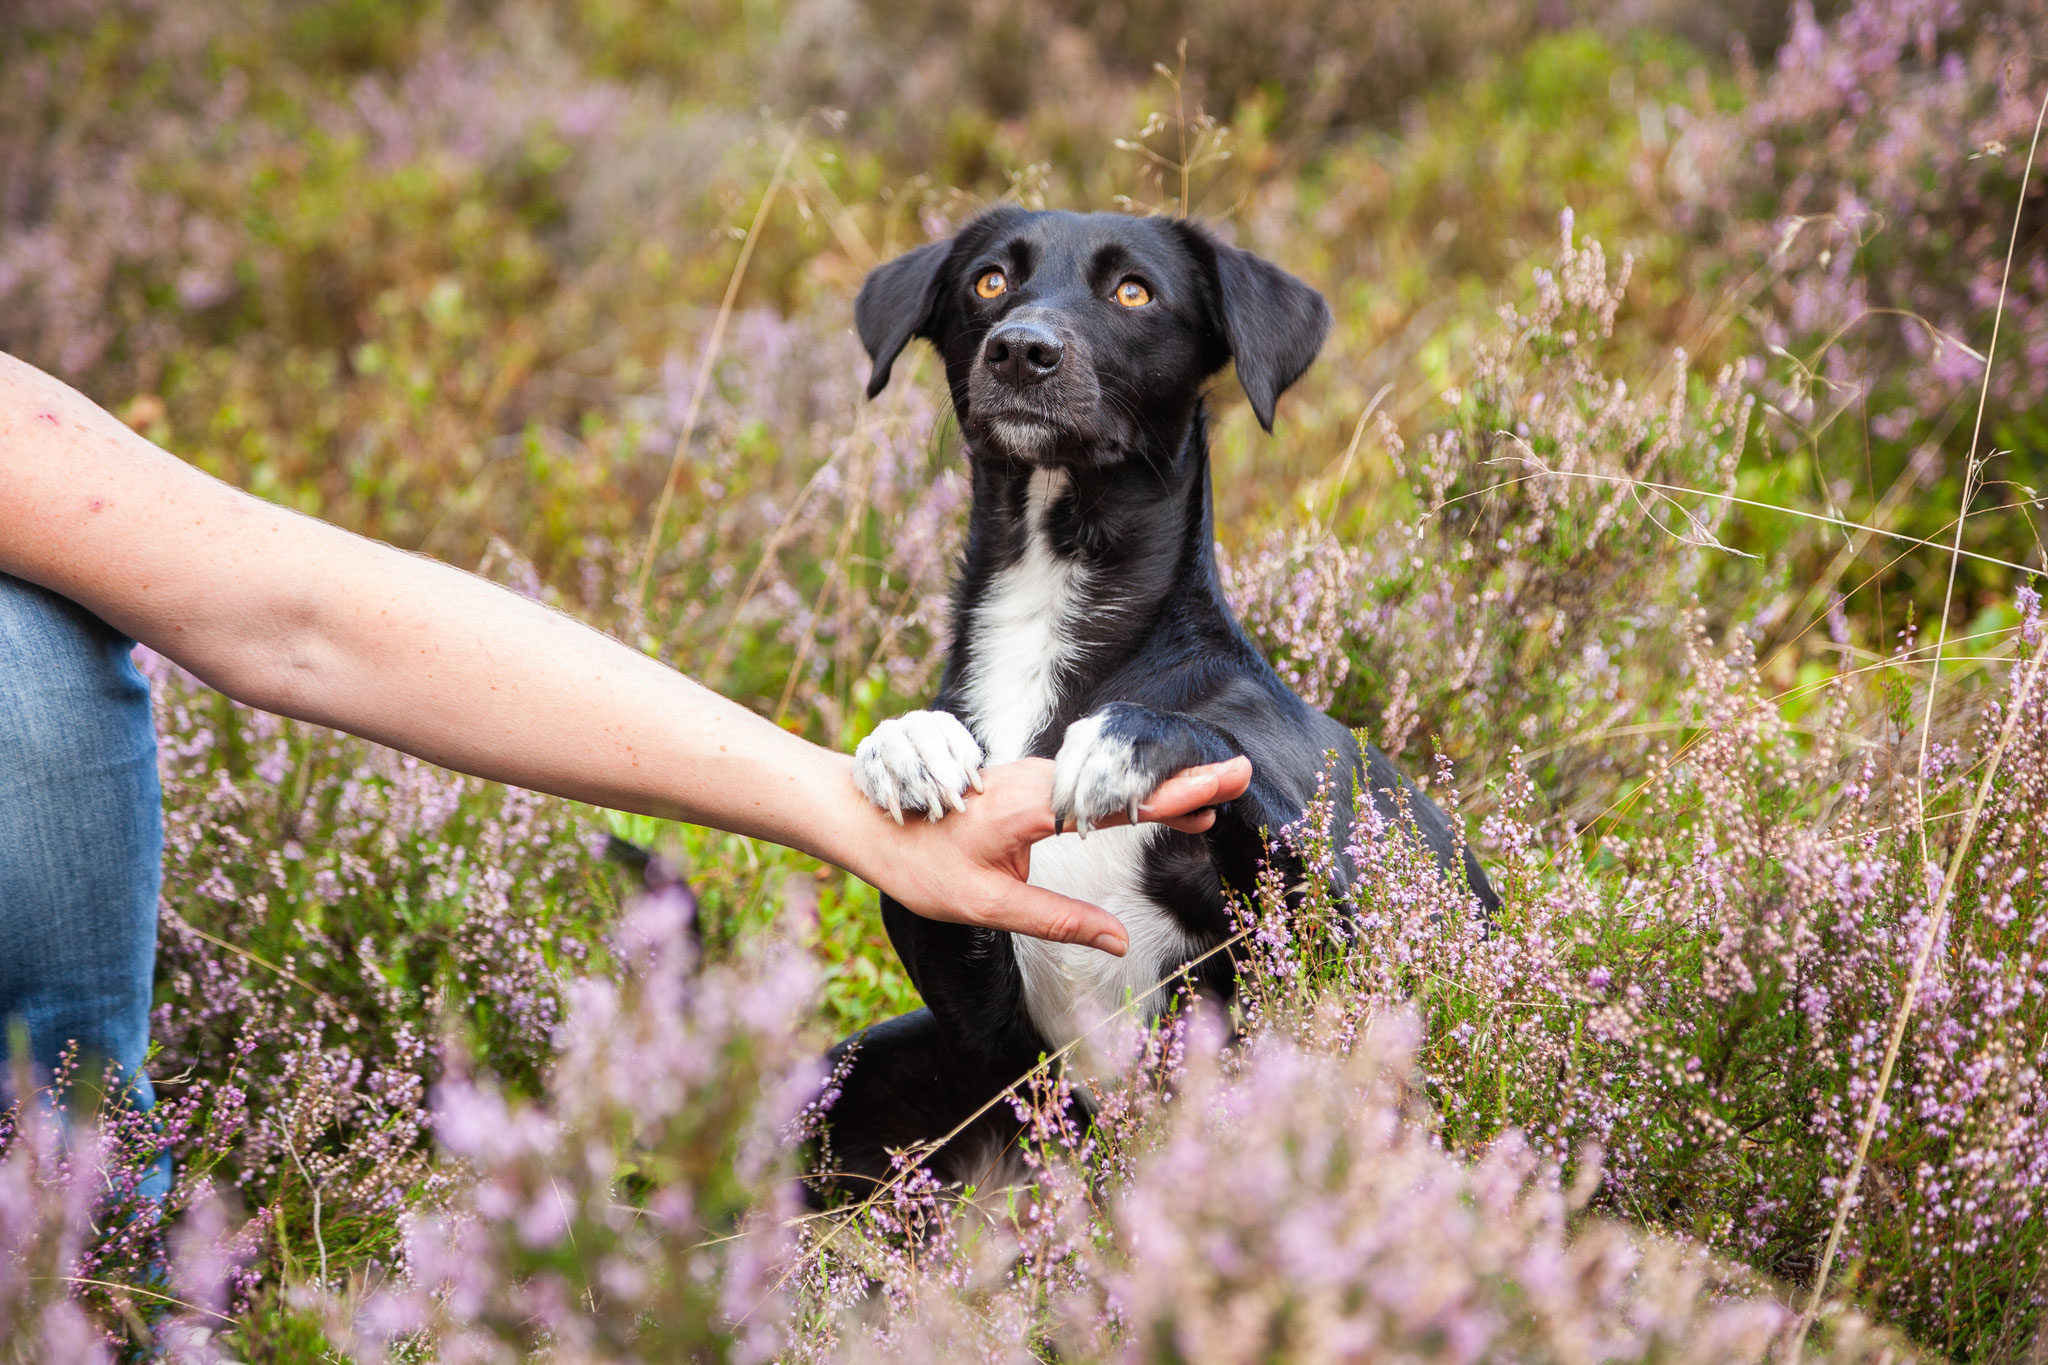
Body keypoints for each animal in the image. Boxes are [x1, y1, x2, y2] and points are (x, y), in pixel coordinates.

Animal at [823, 210, 1499, 1195]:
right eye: (989, 281)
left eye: (1134, 291)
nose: (1019, 348)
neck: (1054, 612)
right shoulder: (998, 1040)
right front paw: (908, 742)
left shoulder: (1342, 941)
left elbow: (1239, 785)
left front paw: (1132, 744)